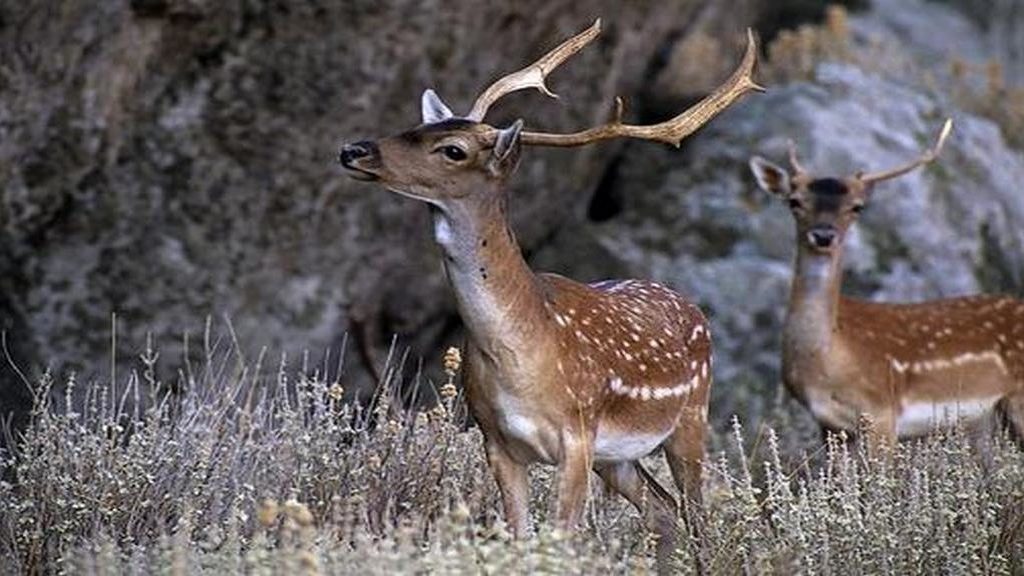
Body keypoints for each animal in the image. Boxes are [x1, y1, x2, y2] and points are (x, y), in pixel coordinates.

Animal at [339, 20, 765, 565]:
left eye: (453, 149)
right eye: (417, 126)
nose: (354, 150)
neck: (518, 354)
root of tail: (691, 306)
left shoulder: (576, 435)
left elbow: (562, 537)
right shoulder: (496, 440)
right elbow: (520, 537)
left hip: (691, 416)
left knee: (696, 517)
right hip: (617, 456)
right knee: (662, 510)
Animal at [749, 118, 1024, 446]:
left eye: (856, 207)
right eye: (794, 202)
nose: (824, 235)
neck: (827, 361)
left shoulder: (882, 412)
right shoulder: (828, 424)